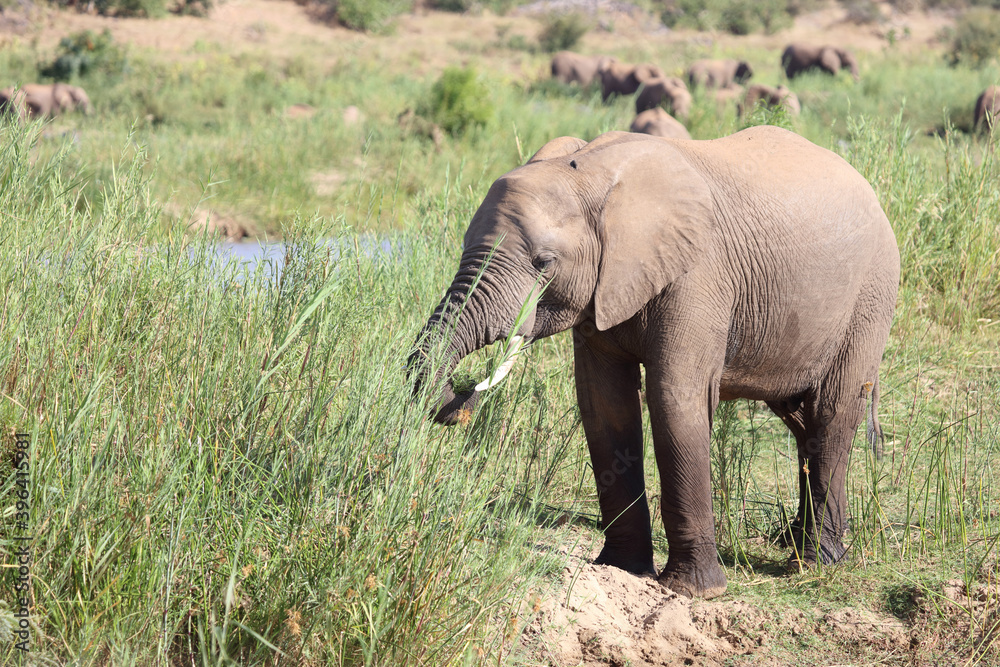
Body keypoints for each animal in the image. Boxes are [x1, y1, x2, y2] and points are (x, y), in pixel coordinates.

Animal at [409, 127, 900, 599]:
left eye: (543, 263)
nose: (462, 398)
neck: (590, 173)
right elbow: (605, 404)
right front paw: (622, 570)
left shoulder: (698, 275)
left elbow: (675, 399)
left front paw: (695, 591)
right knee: (801, 422)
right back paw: (795, 543)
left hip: (870, 296)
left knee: (832, 414)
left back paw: (818, 562)